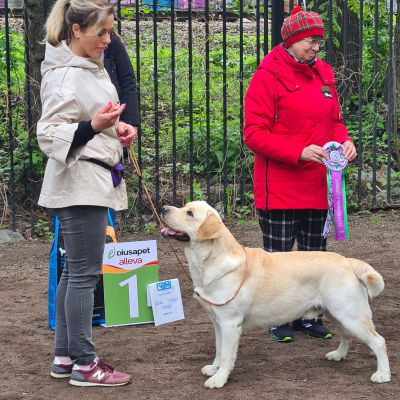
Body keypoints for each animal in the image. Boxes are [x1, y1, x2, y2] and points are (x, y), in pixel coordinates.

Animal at [160, 202, 390, 390]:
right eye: (184, 206)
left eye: (190, 213)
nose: (163, 208)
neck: (210, 262)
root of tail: (348, 261)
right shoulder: (218, 322)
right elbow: (218, 350)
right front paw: (213, 369)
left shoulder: (230, 323)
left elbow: (226, 355)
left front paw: (219, 379)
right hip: (336, 313)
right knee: (347, 335)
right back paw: (338, 355)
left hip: (350, 314)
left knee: (379, 341)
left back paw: (382, 375)